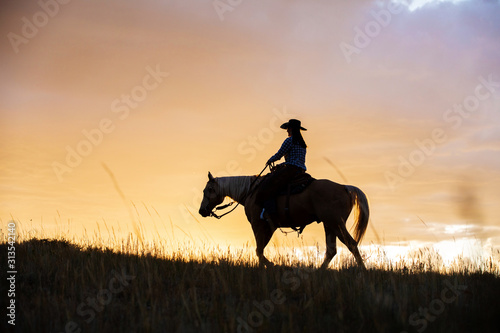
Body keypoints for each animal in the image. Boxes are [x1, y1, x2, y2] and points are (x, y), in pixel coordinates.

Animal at [197, 171, 370, 268]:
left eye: (209, 190)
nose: (202, 211)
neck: (251, 192)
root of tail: (344, 187)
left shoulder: (259, 225)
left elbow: (259, 250)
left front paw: (270, 265)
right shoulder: (269, 227)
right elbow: (260, 250)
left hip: (336, 223)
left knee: (351, 244)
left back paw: (362, 270)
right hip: (329, 225)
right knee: (331, 250)